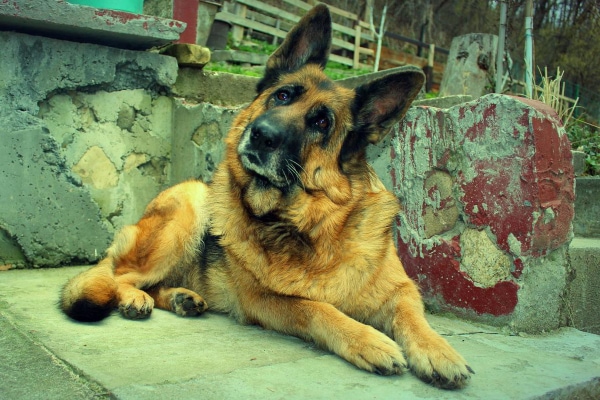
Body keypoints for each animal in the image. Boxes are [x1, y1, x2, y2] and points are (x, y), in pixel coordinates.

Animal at [61, 4, 474, 390]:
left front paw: (439, 351)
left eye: (321, 122)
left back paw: (181, 297)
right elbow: (317, 308)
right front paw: (368, 339)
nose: (261, 134)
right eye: (282, 95)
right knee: (117, 274)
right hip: (187, 210)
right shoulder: (264, 300)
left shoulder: (401, 289)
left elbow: (413, 316)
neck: (310, 227)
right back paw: (133, 297)